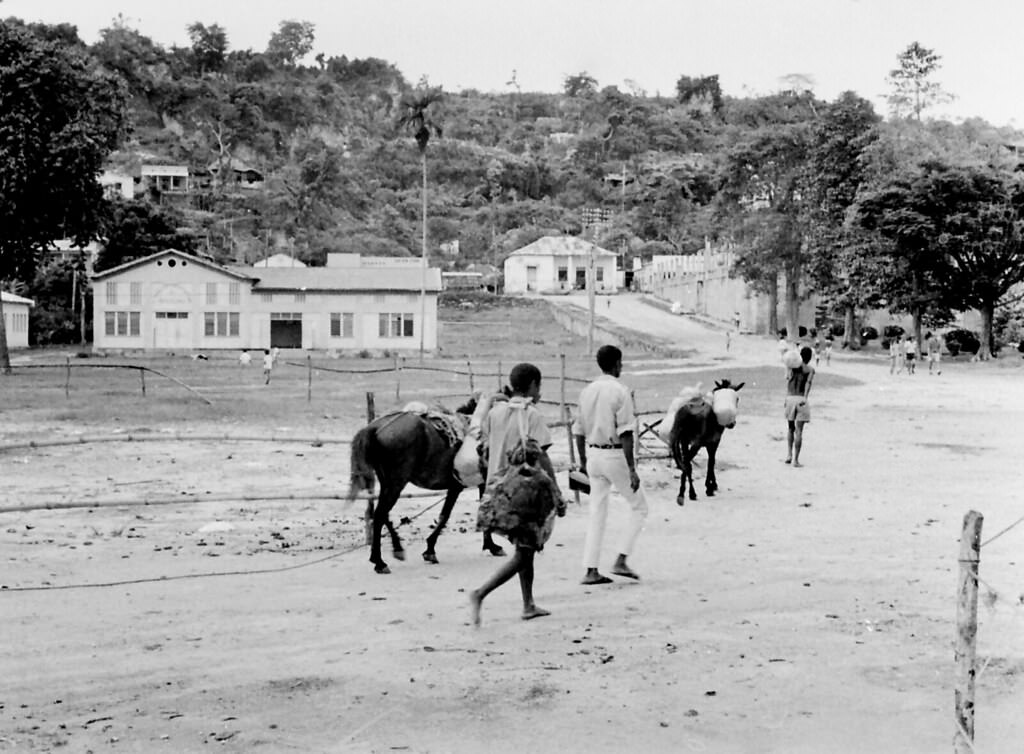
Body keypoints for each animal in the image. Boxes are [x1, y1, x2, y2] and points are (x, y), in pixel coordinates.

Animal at [348, 401, 503, 569]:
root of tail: (375, 428)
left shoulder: (466, 485)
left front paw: (490, 545)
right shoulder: (463, 485)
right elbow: (449, 515)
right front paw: (430, 550)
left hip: (388, 483)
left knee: (383, 514)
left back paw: (396, 549)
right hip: (396, 483)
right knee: (380, 514)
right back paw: (379, 561)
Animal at [663, 377, 745, 506]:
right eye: (737, 399)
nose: (731, 424)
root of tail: (684, 414)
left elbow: (710, 462)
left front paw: (711, 486)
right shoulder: (714, 442)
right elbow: (711, 462)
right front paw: (710, 487)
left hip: (683, 441)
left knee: (687, 465)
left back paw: (688, 493)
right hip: (695, 443)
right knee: (687, 464)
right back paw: (685, 493)